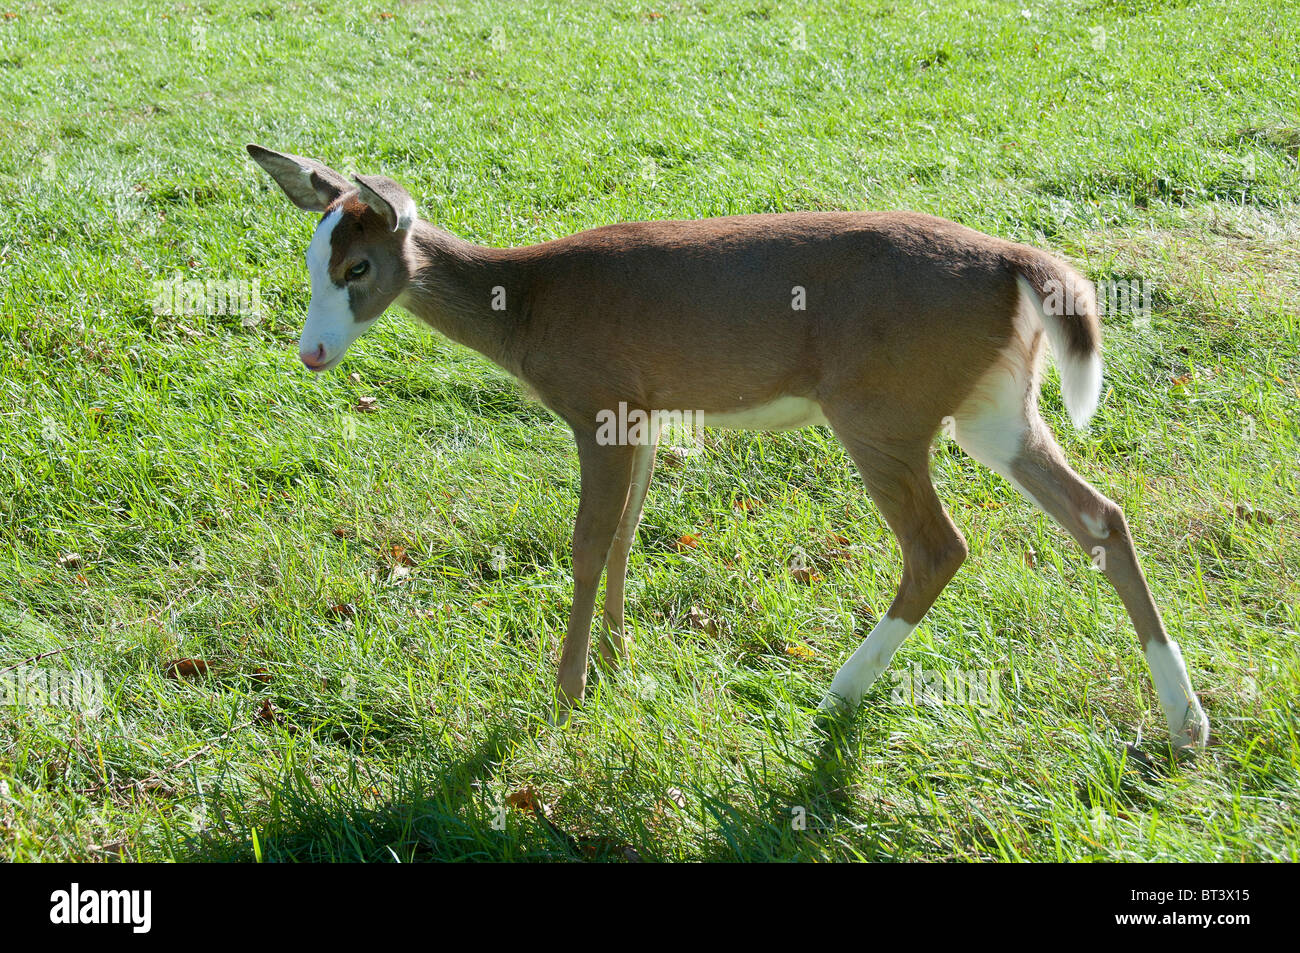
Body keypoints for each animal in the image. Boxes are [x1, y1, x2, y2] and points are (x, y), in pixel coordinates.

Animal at [246, 143, 1210, 751]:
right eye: (310, 260)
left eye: (359, 268)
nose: (313, 352)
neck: (524, 307)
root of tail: (1018, 263)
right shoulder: (640, 411)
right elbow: (629, 533)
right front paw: (620, 661)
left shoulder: (596, 400)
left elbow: (587, 542)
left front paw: (566, 693)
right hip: (993, 409)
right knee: (1101, 514)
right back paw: (1186, 720)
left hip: (880, 407)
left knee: (941, 545)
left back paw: (837, 692)